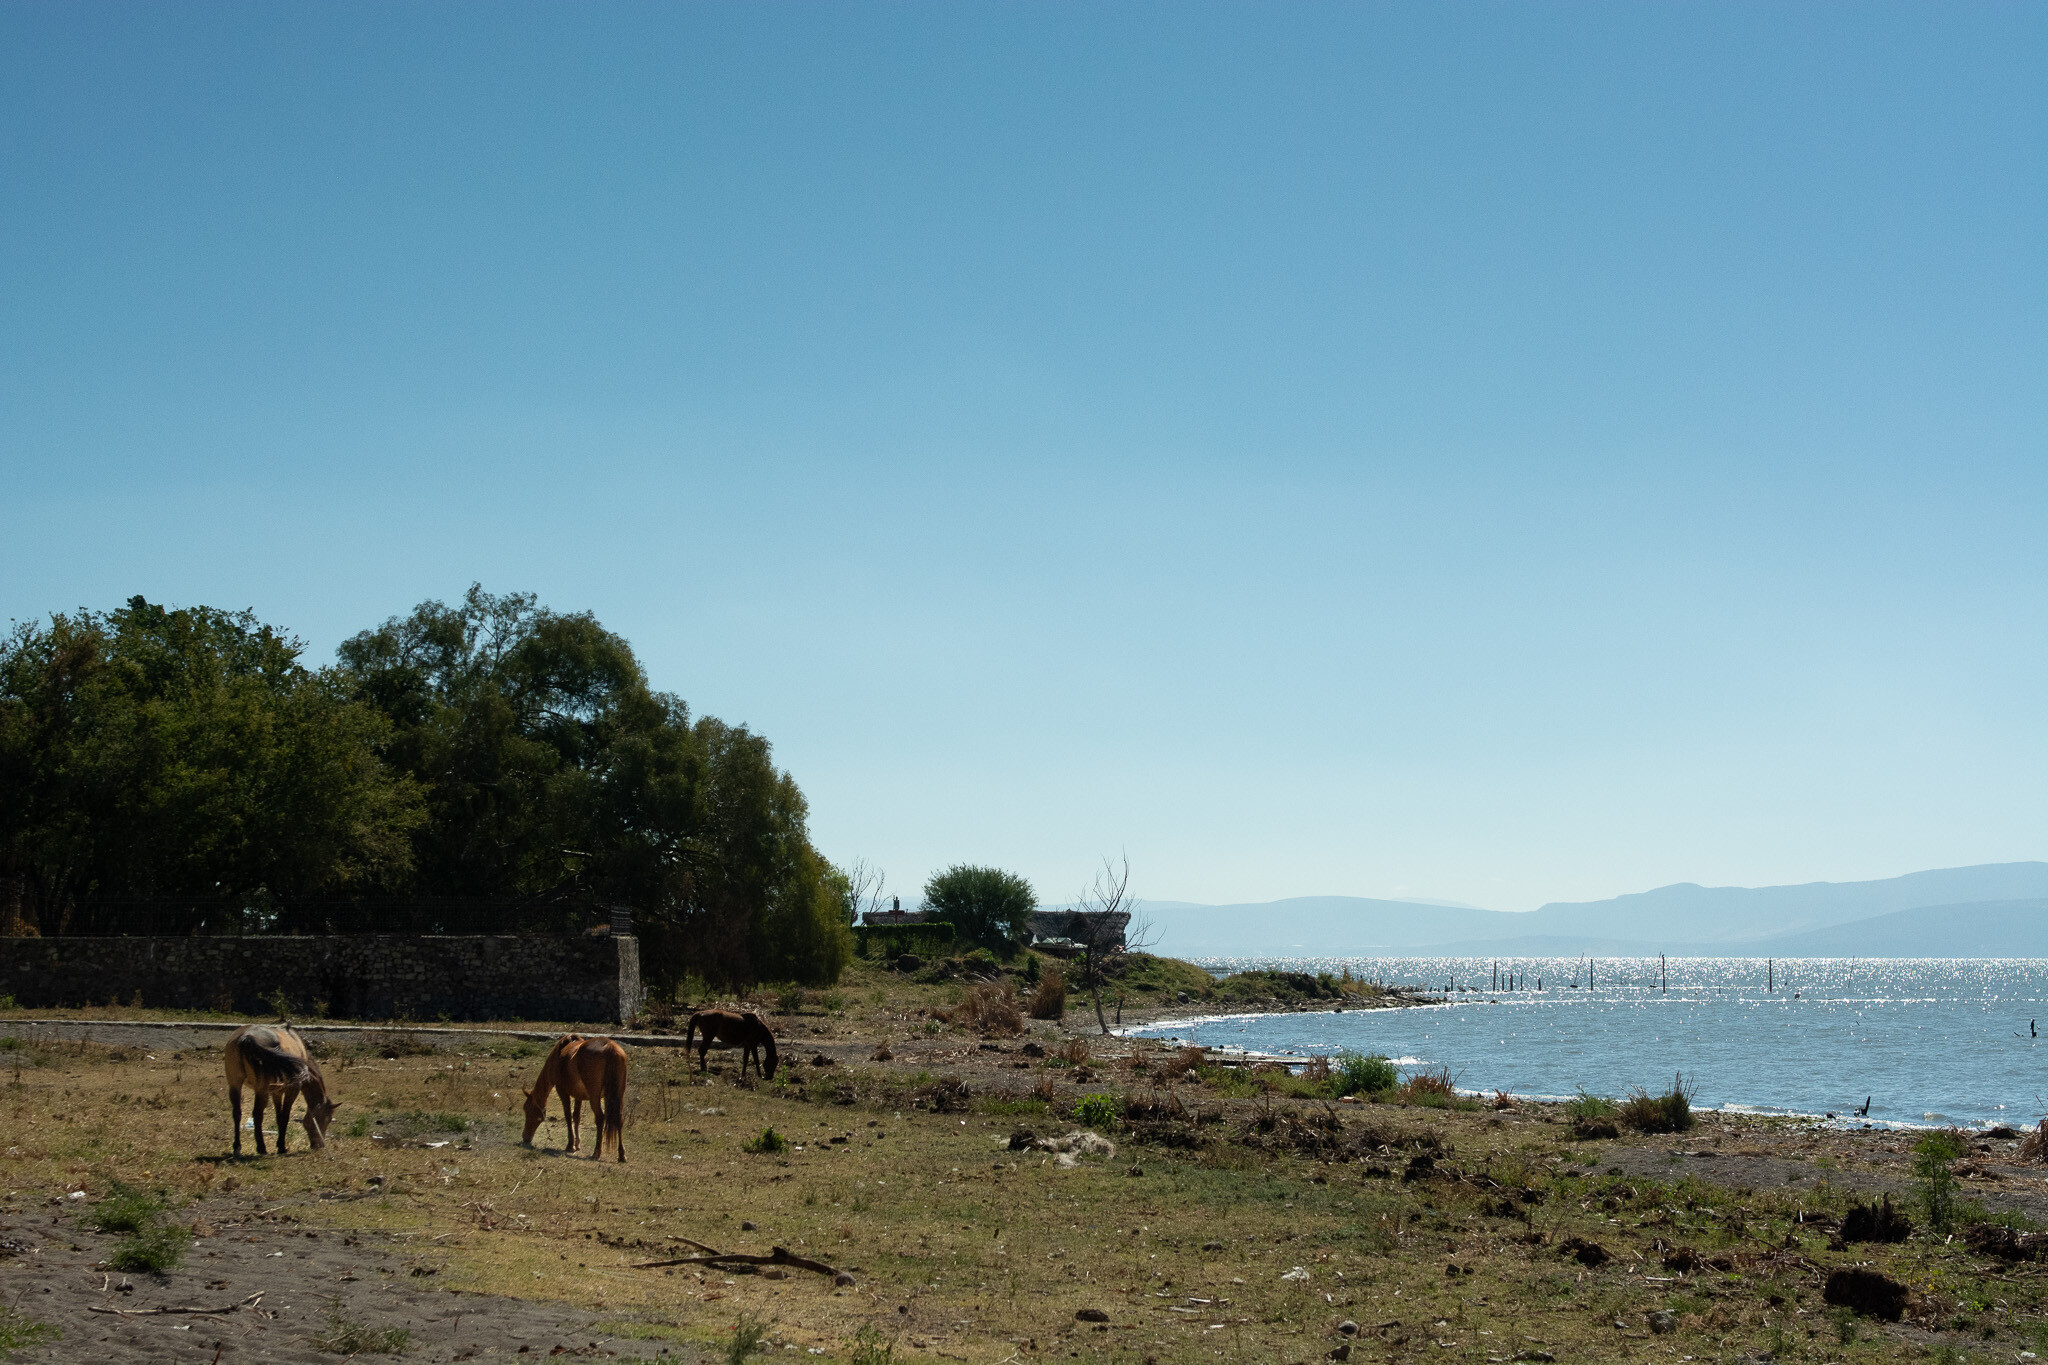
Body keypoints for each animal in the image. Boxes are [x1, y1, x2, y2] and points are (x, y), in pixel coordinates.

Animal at [224, 1024, 338, 1156]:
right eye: (327, 1119)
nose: (319, 1145)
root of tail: (246, 1037)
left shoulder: (276, 1092)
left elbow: (278, 1116)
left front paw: (279, 1144)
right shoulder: (293, 1089)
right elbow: (284, 1116)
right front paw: (282, 1147)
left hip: (235, 1085)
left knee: (237, 1113)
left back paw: (237, 1147)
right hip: (261, 1089)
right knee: (257, 1114)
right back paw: (261, 1148)